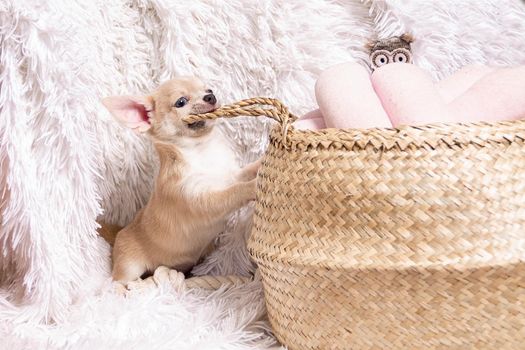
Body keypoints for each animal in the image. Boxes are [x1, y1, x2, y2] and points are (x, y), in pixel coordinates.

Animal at [101, 78, 258, 284]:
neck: (203, 150)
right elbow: (235, 192)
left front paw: (263, 162)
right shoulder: (202, 199)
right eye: (181, 102)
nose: (211, 96)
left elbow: (247, 171)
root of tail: (121, 230)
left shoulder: (230, 175)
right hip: (129, 266)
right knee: (116, 283)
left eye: (209, 90)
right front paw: (253, 187)